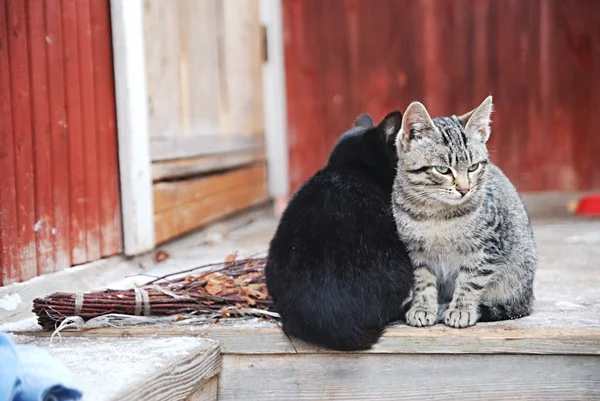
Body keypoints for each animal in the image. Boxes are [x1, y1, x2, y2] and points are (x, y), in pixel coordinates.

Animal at [392, 97, 536, 328]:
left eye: (473, 167)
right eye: (442, 169)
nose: (464, 189)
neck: (437, 213)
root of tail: (529, 296)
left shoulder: (486, 248)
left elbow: (470, 281)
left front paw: (461, 309)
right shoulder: (414, 251)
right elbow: (423, 280)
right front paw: (422, 307)